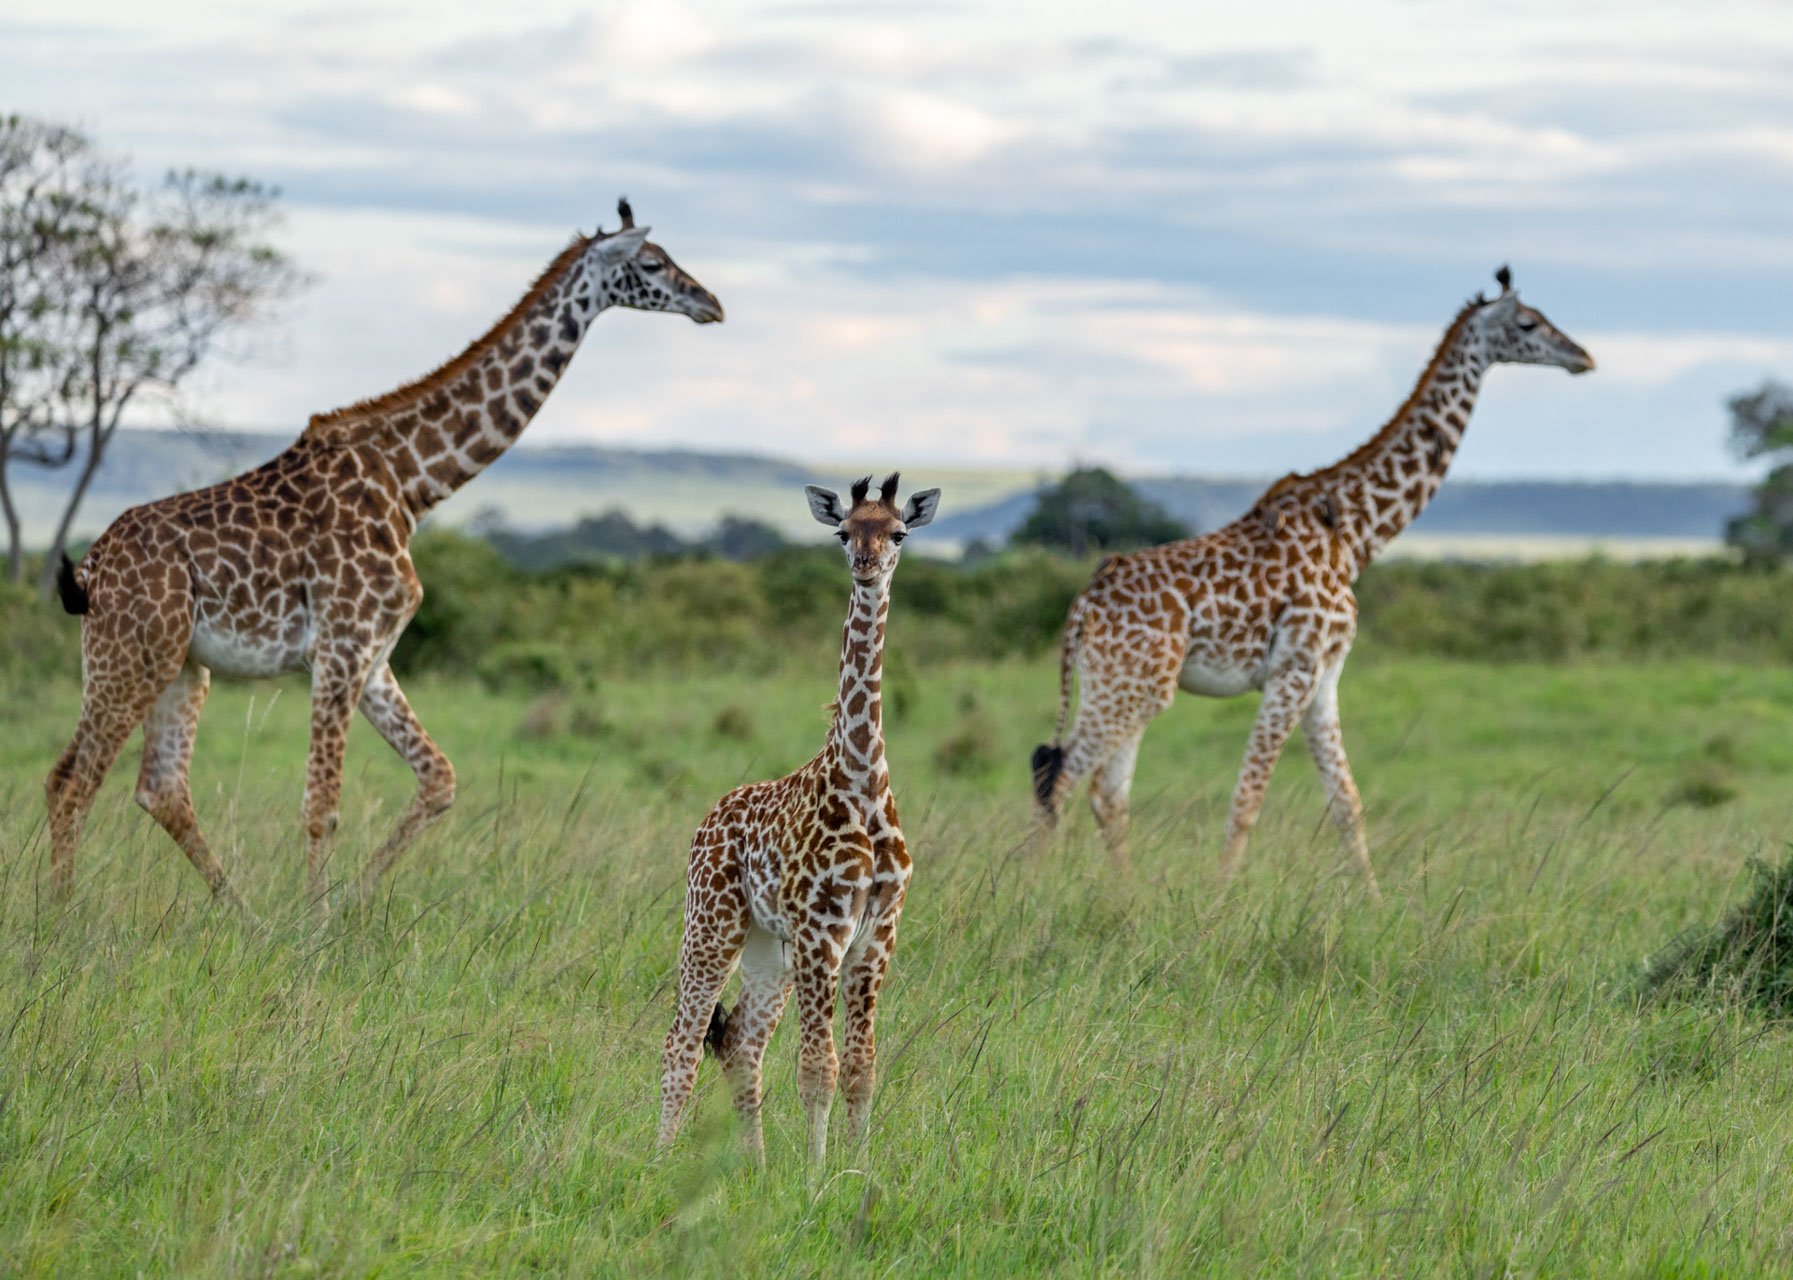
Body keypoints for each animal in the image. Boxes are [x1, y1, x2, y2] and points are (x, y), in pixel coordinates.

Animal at [43, 197, 713, 917]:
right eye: (652, 263)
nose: (711, 303)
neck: (412, 482)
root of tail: (92, 568)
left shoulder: (374, 653)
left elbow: (439, 778)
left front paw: (348, 909)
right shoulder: (341, 646)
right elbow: (322, 805)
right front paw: (313, 923)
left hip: (181, 667)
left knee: (158, 787)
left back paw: (243, 916)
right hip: (129, 657)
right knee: (71, 780)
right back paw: (63, 920)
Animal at [656, 473, 939, 1161]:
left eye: (898, 532)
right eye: (844, 531)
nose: (866, 563)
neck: (862, 779)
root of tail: (708, 818)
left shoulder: (876, 937)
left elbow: (861, 1068)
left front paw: (854, 1170)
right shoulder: (822, 933)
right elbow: (819, 1069)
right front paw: (815, 1175)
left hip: (768, 948)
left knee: (739, 1043)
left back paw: (755, 1167)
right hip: (711, 925)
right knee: (682, 1042)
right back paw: (657, 1159)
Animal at [1032, 263, 1592, 892]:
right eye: (1529, 323)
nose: (1583, 356)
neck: (1354, 533)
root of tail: (1082, 606)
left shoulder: (1326, 676)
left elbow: (1347, 803)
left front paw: (1374, 902)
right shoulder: (1294, 670)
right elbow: (1248, 801)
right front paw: (1219, 898)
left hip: (1128, 684)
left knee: (1105, 792)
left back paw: (1127, 894)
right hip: (1131, 684)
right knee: (1059, 773)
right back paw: (1033, 889)